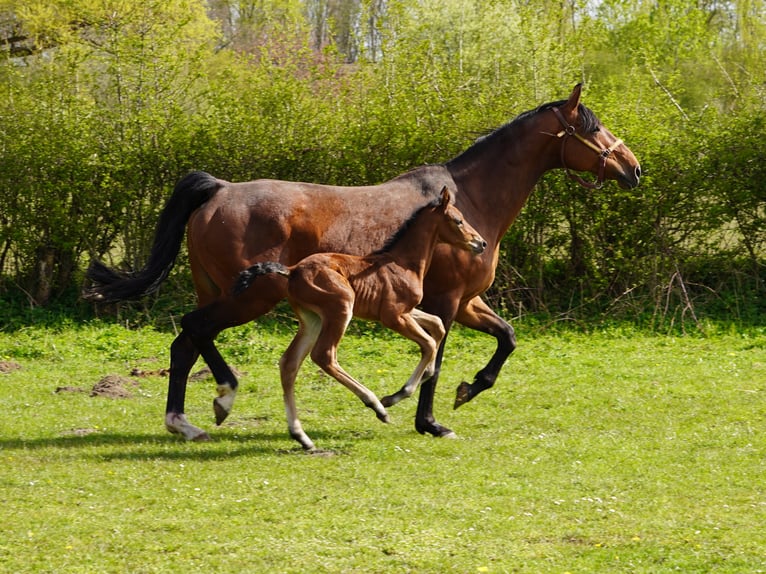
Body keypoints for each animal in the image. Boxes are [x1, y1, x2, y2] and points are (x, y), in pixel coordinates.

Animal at [231, 187, 488, 452]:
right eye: (458, 220)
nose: (481, 243)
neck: (404, 263)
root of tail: (291, 270)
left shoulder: (407, 311)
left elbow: (436, 326)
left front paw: (426, 373)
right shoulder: (393, 316)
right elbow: (428, 343)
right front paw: (396, 396)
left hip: (312, 319)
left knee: (289, 363)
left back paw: (301, 436)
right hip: (341, 307)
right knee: (324, 356)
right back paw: (377, 406)